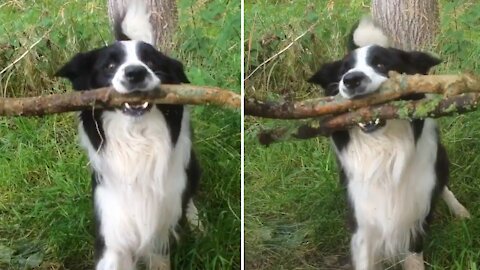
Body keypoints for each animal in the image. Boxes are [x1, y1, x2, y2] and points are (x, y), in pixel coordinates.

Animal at [55, 1, 201, 268]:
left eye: (152, 63)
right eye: (110, 66)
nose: (135, 72)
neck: (136, 141)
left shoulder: (158, 230)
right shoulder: (113, 228)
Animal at [308, 17, 468, 268]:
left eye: (382, 65)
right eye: (344, 71)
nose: (351, 80)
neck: (383, 149)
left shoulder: (414, 212)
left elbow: (414, 256)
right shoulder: (363, 218)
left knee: (443, 185)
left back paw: (460, 211)